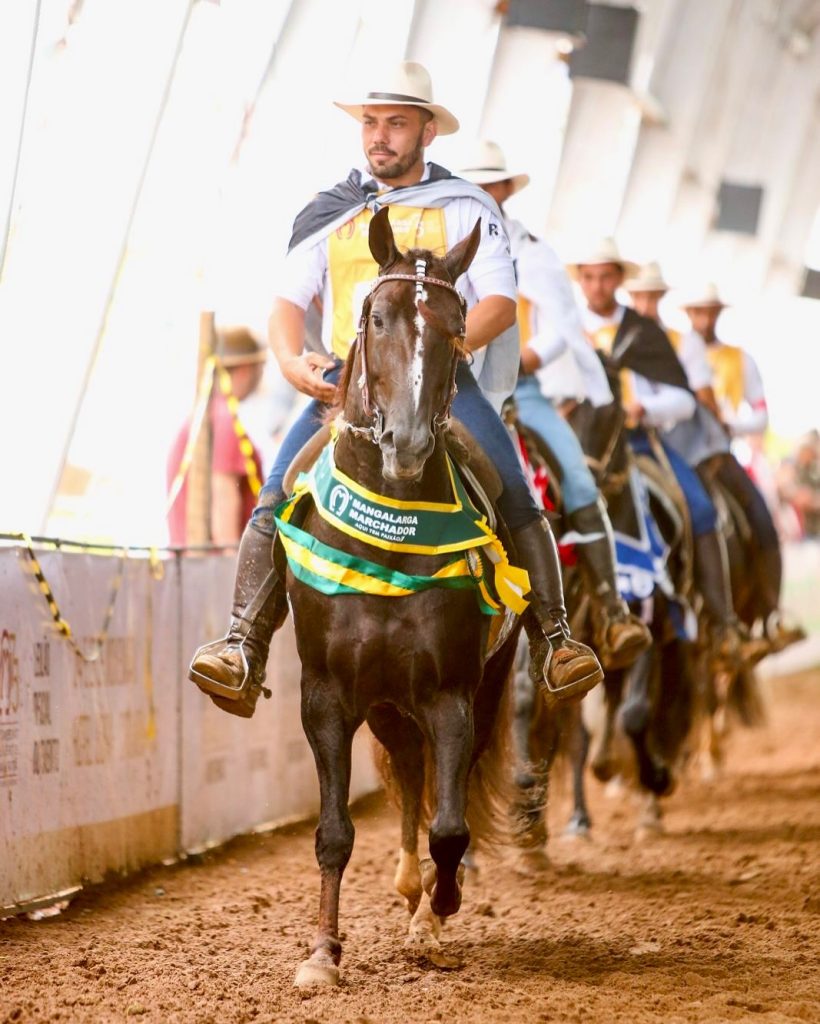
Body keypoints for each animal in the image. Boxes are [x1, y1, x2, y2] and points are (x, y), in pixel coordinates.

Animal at [284, 205, 518, 983]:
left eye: (456, 325)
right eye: (377, 316)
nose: (408, 443)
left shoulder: (450, 692)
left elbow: (451, 825)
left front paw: (440, 912)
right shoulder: (326, 693)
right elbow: (333, 832)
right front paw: (323, 955)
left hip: (473, 689)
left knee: (440, 790)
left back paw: (427, 905)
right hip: (387, 702)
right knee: (411, 773)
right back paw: (409, 886)